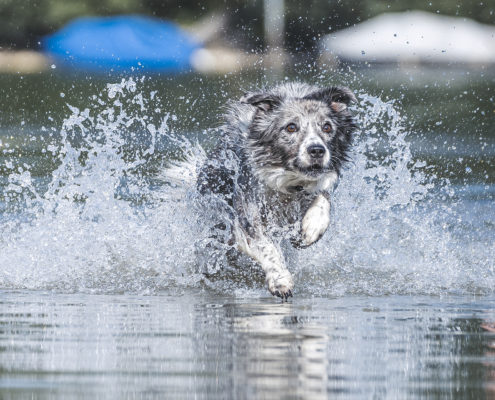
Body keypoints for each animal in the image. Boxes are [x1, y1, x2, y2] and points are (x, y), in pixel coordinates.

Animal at [192, 82, 358, 300]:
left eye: (327, 127)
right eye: (291, 127)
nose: (316, 150)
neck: (289, 183)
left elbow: (322, 200)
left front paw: (311, 228)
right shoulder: (248, 207)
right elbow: (265, 246)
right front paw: (280, 281)